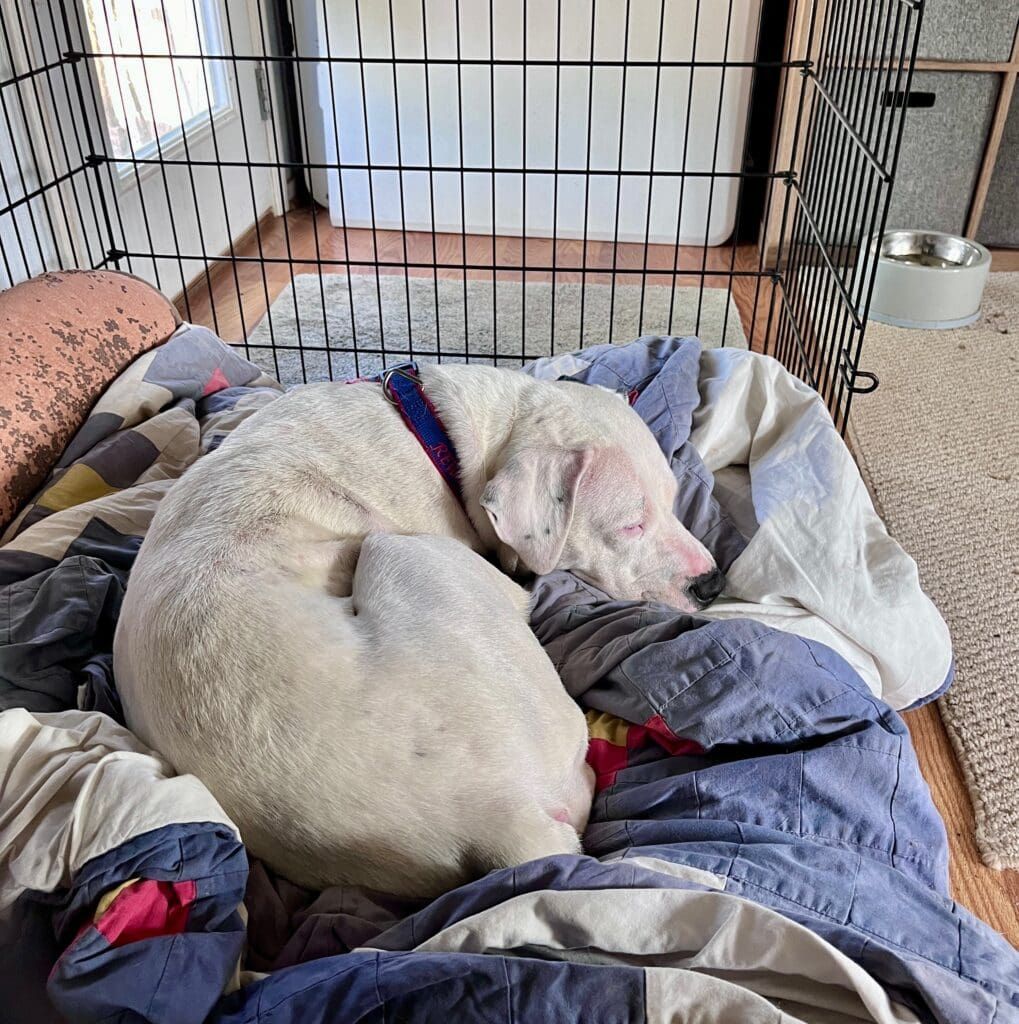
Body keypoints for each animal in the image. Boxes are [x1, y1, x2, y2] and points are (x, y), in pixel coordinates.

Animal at [115, 368, 725, 897]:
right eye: (630, 524)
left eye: (673, 501)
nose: (713, 583)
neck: (437, 433)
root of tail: (499, 815)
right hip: (402, 550)